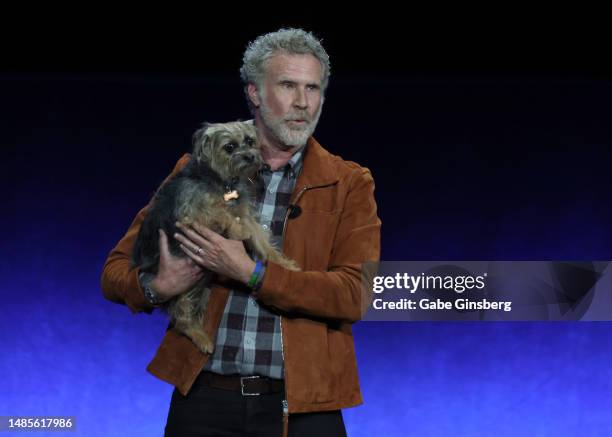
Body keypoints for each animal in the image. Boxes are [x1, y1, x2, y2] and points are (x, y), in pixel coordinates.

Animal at [131, 121, 298, 352]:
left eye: (250, 141)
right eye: (229, 147)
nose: (250, 156)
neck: (224, 181)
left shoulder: (246, 215)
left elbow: (263, 243)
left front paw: (285, 265)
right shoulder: (190, 215)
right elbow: (218, 211)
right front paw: (237, 230)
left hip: (202, 287)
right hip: (179, 286)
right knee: (181, 316)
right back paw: (201, 338)